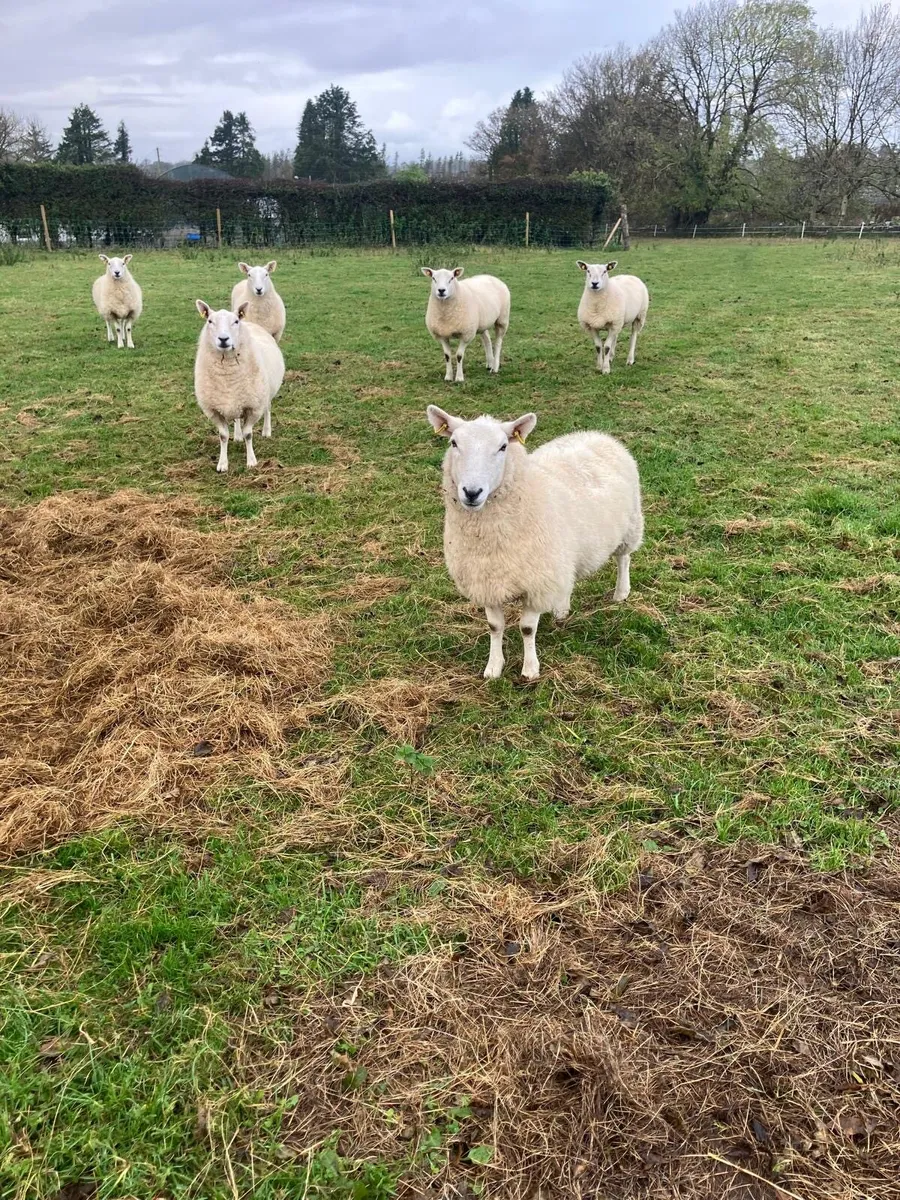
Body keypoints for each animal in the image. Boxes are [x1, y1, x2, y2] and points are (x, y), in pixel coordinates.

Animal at [194, 299, 284, 473]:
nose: (223, 339)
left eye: (235, 321)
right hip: (237, 399)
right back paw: (237, 436)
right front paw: (222, 463)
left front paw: (251, 461)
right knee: (236, 418)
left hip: (265, 393)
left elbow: (249, 434)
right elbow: (223, 436)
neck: (227, 378)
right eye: (210, 321)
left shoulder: (253, 406)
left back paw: (266, 431)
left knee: (268, 409)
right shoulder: (214, 410)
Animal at [426, 404, 643, 680]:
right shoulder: (487, 580)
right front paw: (493, 667)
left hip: (630, 524)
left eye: (503, 447)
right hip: (562, 555)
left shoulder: (537, 582)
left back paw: (621, 593)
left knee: (623, 558)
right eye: (454, 443)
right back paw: (561, 609)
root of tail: (597, 434)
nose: (472, 492)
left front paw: (530, 669)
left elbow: (527, 629)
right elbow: (495, 626)